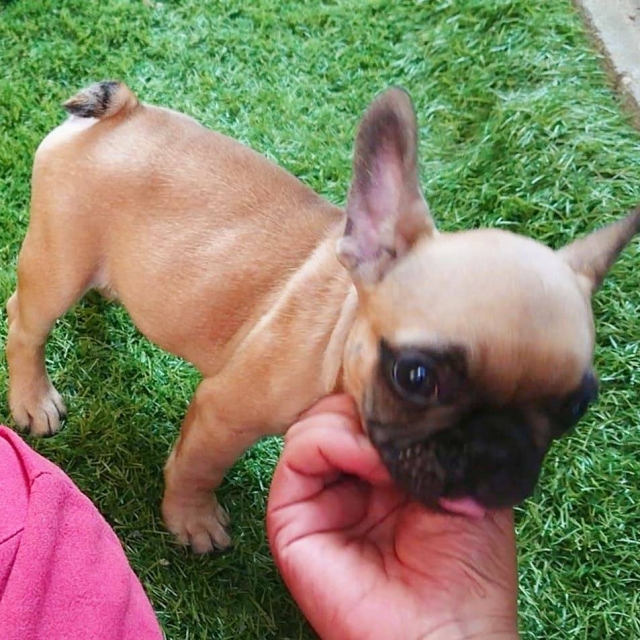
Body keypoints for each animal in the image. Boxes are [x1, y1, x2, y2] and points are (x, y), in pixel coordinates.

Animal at [6, 81, 639, 553]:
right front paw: (193, 518)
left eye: (576, 408)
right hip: (58, 263)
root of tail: (124, 112)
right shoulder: (223, 414)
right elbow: (196, 468)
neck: (340, 325)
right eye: (416, 376)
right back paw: (33, 397)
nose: (498, 452)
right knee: (25, 322)